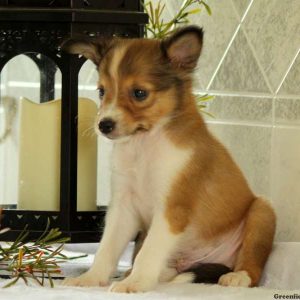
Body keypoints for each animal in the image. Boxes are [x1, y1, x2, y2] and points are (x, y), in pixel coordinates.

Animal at [62, 25, 276, 292]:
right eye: (102, 91)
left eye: (139, 93)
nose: (104, 125)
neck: (144, 145)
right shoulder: (123, 206)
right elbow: (107, 247)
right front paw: (91, 279)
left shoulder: (172, 208)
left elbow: (149, 252)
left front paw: (136, 283)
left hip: (262, 211)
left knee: (253, 267)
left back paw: (237, 277)